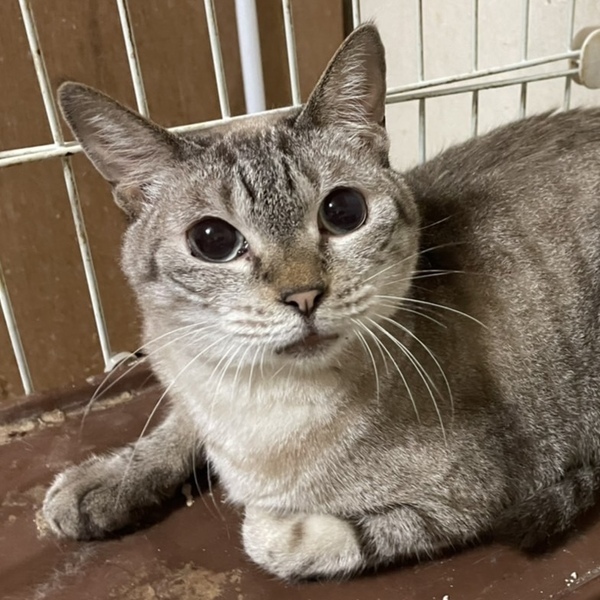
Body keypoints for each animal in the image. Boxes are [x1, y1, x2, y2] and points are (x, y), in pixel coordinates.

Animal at [43, 23, 600, 580]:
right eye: (212, 240)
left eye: (343, 211)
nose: (304, 295)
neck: (256, 402)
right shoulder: (185, 373)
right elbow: (177, 426)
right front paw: (103, 482)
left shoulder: (471, 497)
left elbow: (273, 536)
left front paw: (261, 512)